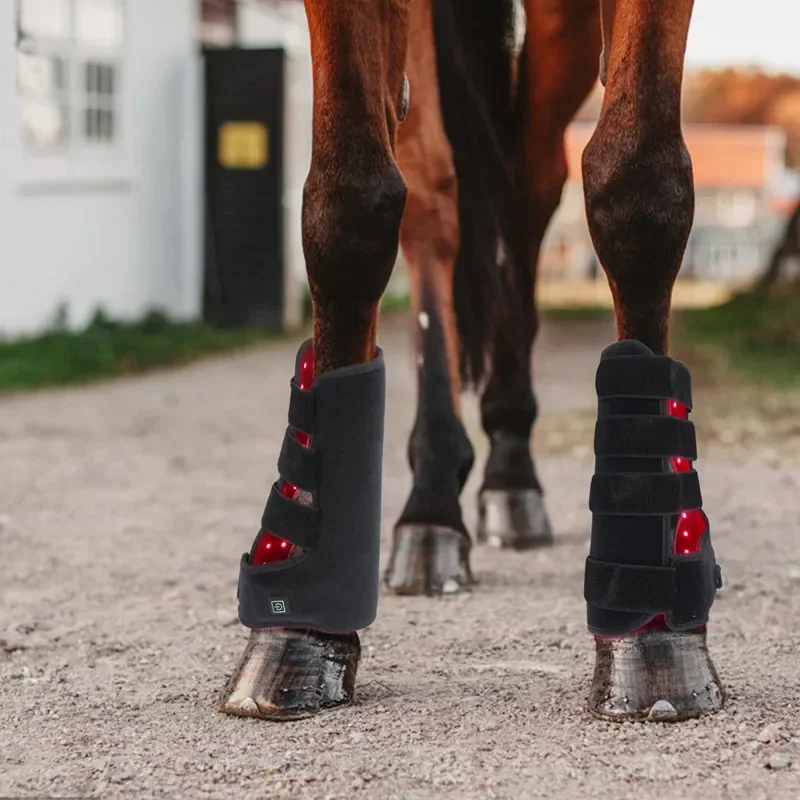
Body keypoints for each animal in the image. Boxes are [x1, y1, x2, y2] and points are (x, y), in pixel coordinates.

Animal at [219, 0, 724, 723]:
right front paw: (301, 633)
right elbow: (347, 204)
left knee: (529, 184)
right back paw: (432, 505)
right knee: (436, 199)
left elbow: (639, 188)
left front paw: (655, 640)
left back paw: (510, 468)